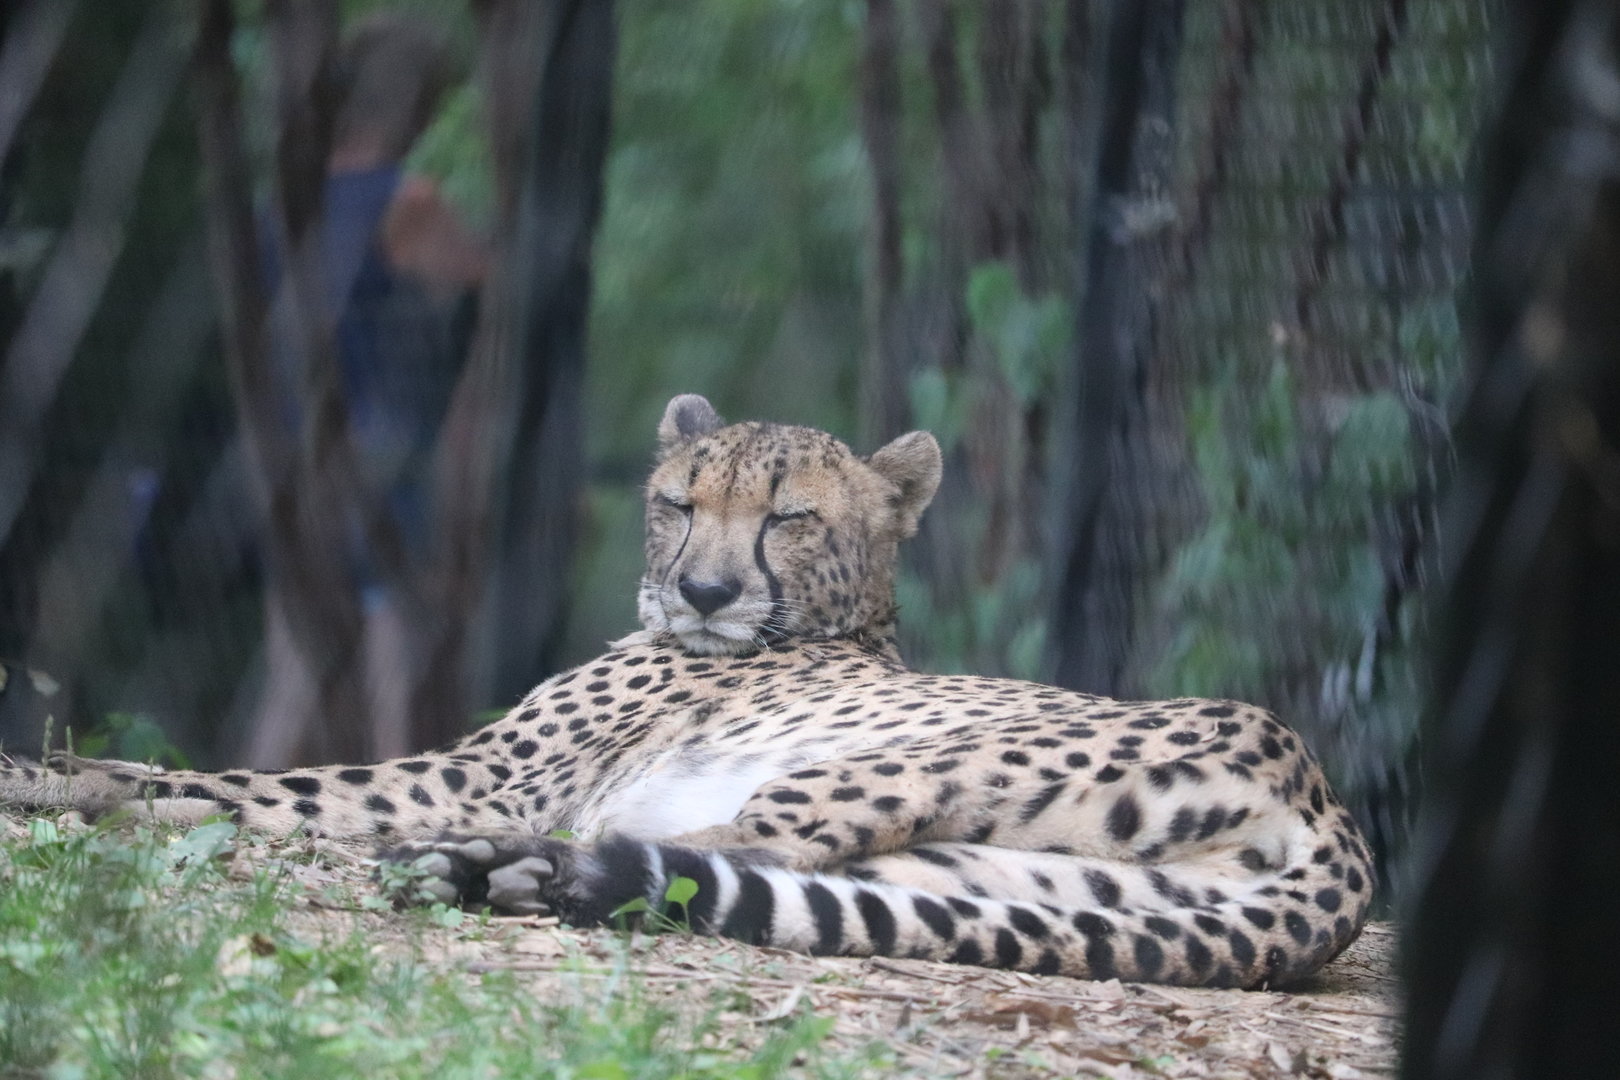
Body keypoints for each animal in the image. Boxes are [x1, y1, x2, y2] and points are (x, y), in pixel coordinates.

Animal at [0, 394, 1373, 988]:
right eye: (677, 501)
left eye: (788, 518)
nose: (706, 591)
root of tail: (1329, 804)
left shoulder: (475, 769)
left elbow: (226, 782)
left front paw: (42, 779)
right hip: (1016, 883)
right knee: (784, 884)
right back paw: (500, 872)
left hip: (890, 767)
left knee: (732, 849)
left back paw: (515, 867)